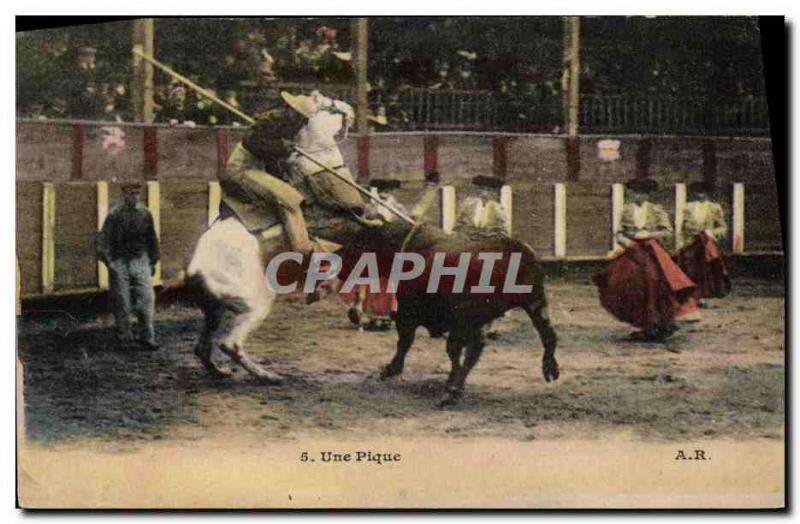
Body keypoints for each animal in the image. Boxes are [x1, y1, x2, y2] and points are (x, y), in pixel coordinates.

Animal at [188, 92, 356, 382]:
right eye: (330, 104)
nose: (351, 111)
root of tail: (197, 266)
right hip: (256, 302)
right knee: (229, 343)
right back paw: (269, 376)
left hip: (214, 310)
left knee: (203, 347)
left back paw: (222, 372)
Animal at [334, 220, 560, 406]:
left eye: (359, 242)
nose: (336, 258)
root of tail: (513, 251)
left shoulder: (408, 313)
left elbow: (405, 342)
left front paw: (391, 369)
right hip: (533, 303)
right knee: (546, 335)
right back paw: (550, 368)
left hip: (471, 315)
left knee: (463, 349)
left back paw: (451, 391)